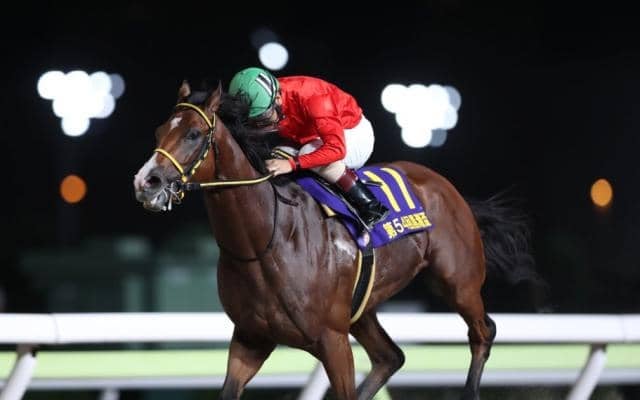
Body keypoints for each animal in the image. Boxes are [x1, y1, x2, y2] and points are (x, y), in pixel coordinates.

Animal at [133, 81, 545, 400]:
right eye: (158, 132)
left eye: (193, 134)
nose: (146, 182)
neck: (263, 242)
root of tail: (449, 188)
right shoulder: (250, 339)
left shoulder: (332, 340)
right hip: (363, 308)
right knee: (390, 356)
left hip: (458, 282)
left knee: (483, 332)